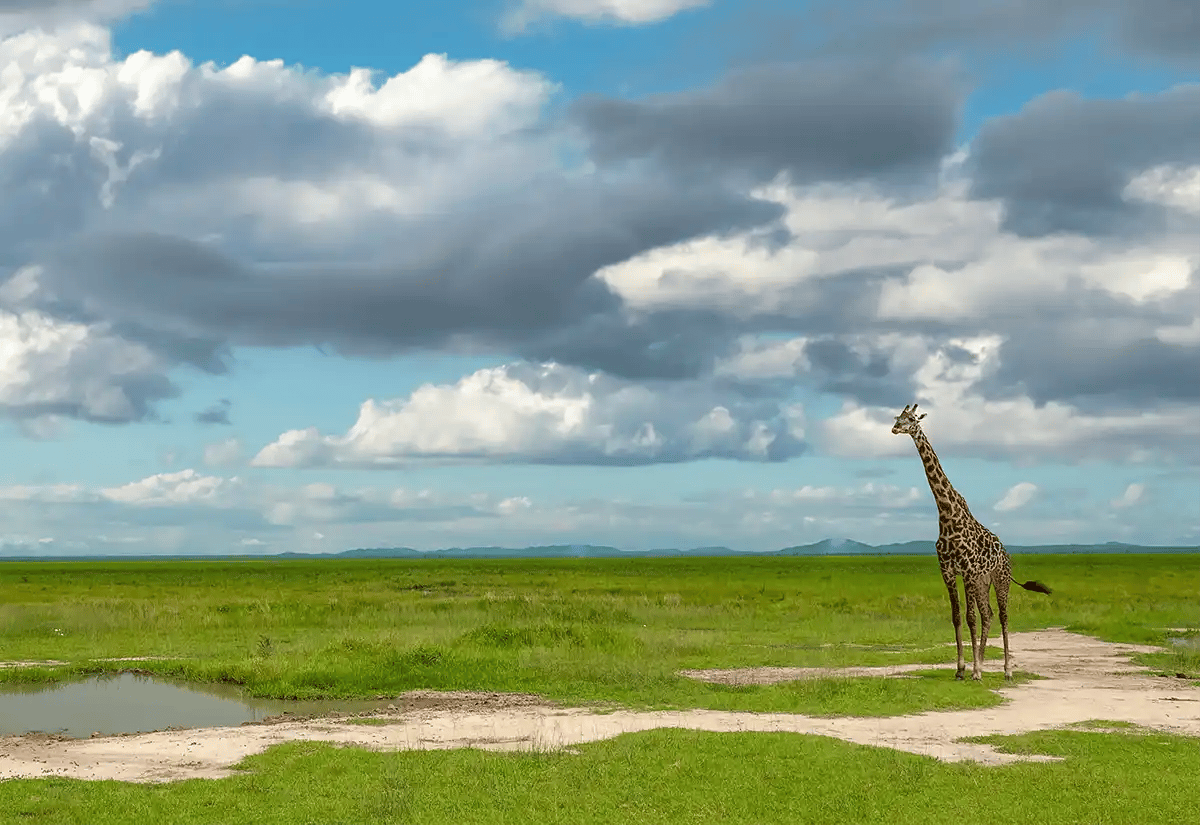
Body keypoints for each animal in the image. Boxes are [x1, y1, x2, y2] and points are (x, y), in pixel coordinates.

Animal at [891, 403, 1052, 681]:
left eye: (911, 419)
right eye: (897, 417)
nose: (895, 428)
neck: (946, 514)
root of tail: (1006, 554)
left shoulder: (966, 571)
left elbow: (970, 618)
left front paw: (973, 670)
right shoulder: (947, 570)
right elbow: (957, 617)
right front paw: (962, 669)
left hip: (999, 579)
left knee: (1003, 616)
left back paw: (1006, 670)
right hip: (982, 582)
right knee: (988, 615)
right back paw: (983, 664)